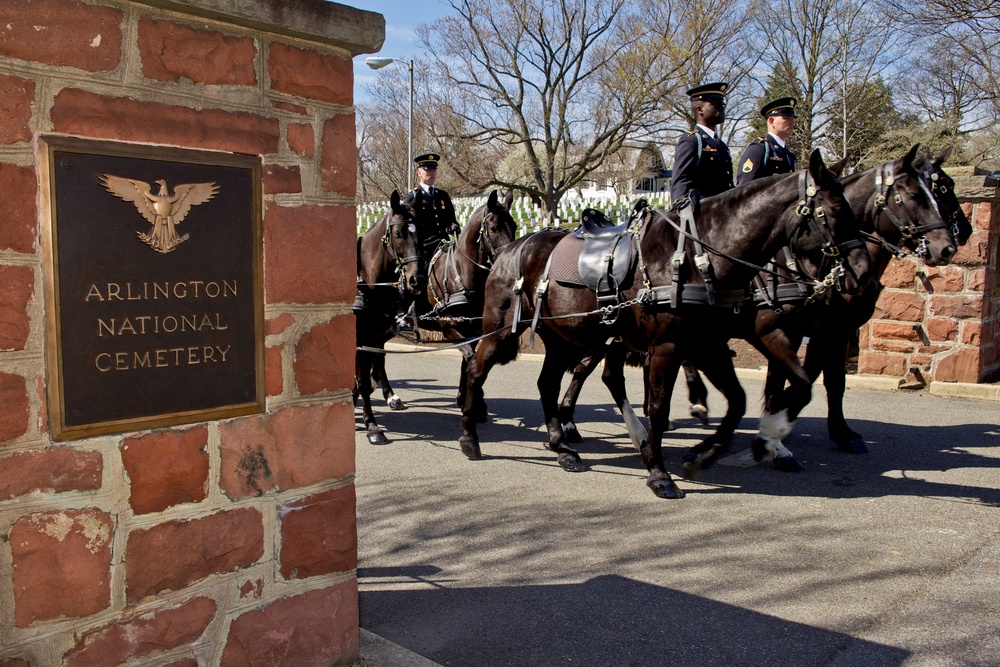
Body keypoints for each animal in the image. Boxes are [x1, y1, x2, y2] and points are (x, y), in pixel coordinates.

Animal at [356, 190, 426, 446]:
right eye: (398, 233)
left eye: (422, 231)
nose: (417, 279)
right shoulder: (361, 341)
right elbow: (363, 381)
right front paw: (372, 425)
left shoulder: (372, 338)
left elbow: (370, 373)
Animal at [458, 149, 868, 498]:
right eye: (834, 210)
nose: (861, 272)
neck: (697, 256)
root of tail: (510, 250)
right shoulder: (670, 348)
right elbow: (659, 408)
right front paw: (658, 471)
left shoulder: (708, 344)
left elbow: (742, 400)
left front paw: (708, 452)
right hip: (501, 329)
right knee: (477, 368)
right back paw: (470, 436)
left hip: (565, 338)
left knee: (548, 383)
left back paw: (562, 448)